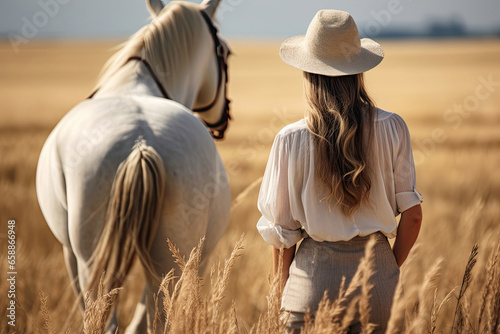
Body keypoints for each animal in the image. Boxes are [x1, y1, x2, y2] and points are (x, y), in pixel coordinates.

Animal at [37, 1, 232, 332]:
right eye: (226, 53)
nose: (224, 118)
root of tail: (140, 145)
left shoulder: (70, 254)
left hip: (99, 261)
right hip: (161, 262)